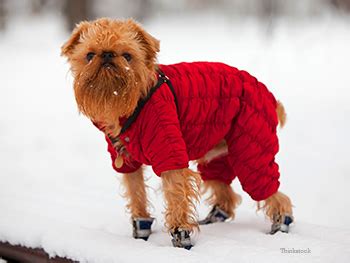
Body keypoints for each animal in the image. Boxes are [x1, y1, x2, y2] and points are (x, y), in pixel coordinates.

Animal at [61, 18, 294, 250]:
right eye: (90, 55)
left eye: (127, 56)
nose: (108, 55)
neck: (131, 105)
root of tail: (269, 96)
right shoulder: (127, 162)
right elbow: (136, 192)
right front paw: (141, 229)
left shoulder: (169, 154)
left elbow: (176, 195)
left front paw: (181, 235)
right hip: (217, 156)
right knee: (225, 191)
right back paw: (215, 217)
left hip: (251, 151)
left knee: (270, 190)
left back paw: (281, 222)